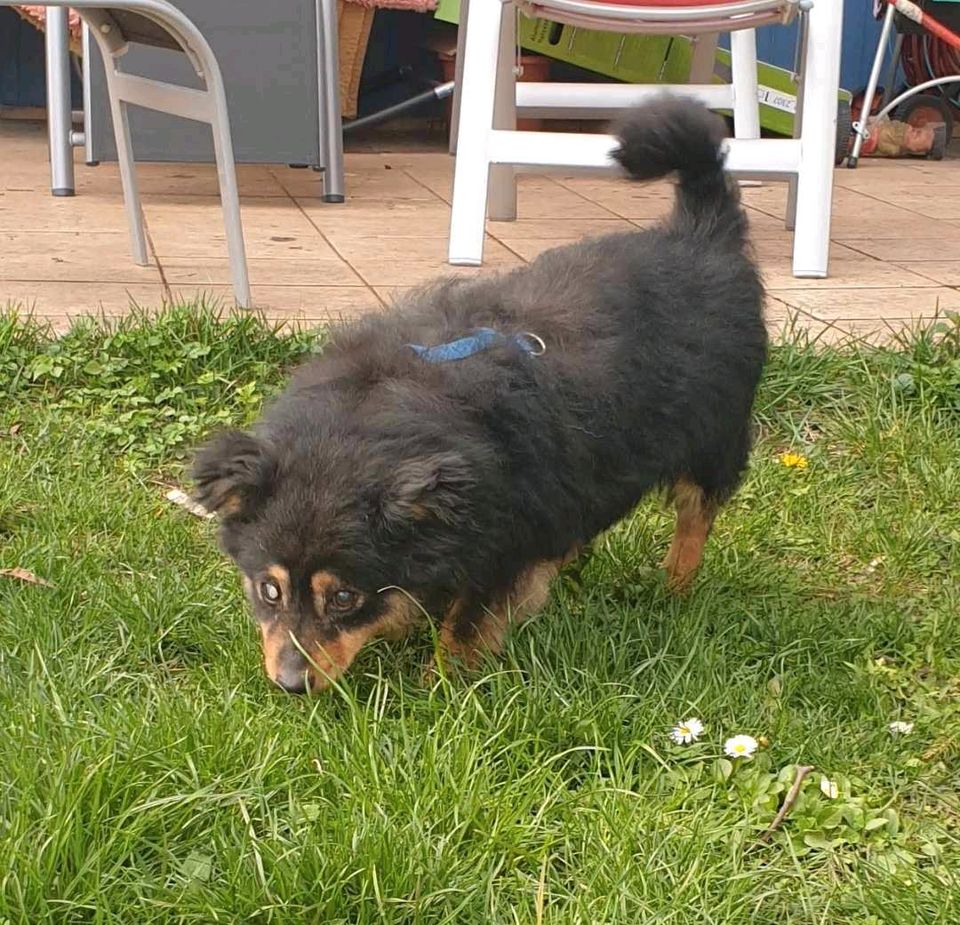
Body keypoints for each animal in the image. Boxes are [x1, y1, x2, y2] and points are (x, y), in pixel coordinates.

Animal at [193, 99, 764, 692]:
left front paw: (439, 686)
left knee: (695, 518)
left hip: (713, 440)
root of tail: (701, 233)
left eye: (345, 596)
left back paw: (674, 587)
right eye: (269, 589)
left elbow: (465, 624)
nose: (289, 684)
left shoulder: (508, 543)